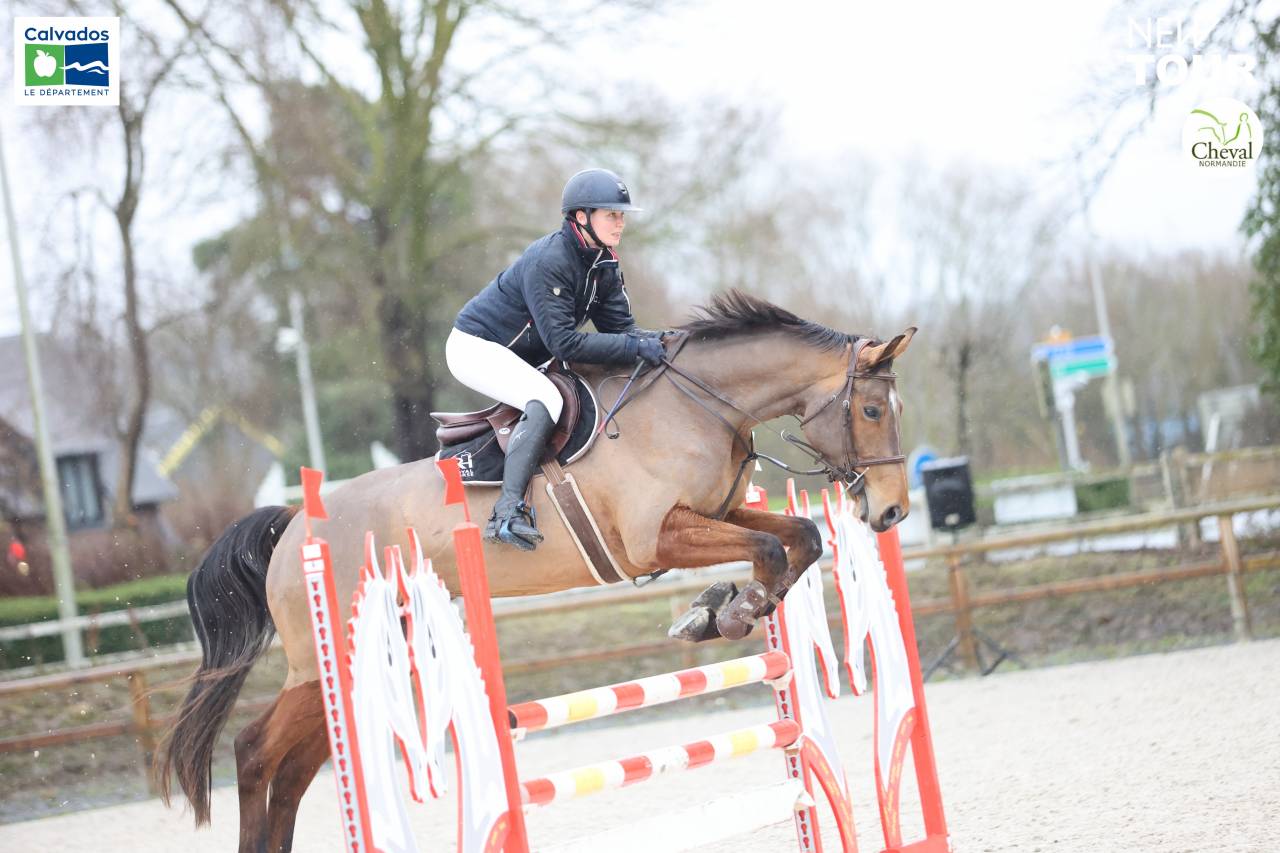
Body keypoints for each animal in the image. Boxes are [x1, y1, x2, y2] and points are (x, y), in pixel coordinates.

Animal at [154, 290, 916, 852]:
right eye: (872, 409)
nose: (892, 512)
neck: (698, 405)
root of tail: (291, 528)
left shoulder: (717, 513)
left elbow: (799, 537)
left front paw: (721, 608)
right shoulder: (655, 538)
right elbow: (768, 551)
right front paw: (729, 610)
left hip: (347, 666)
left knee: (291, 771)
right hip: (322, 661)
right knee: (255, 752)